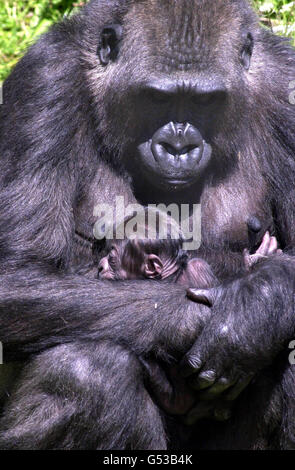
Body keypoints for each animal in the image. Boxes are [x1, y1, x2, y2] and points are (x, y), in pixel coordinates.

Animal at [0, 0, 295, 450]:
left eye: (206, 101)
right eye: (156, 99)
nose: (178, 146)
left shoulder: (290, 90)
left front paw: (257, 308)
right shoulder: (42, 85)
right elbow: (15, 274)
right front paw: (212, 319)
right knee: (85, 372)